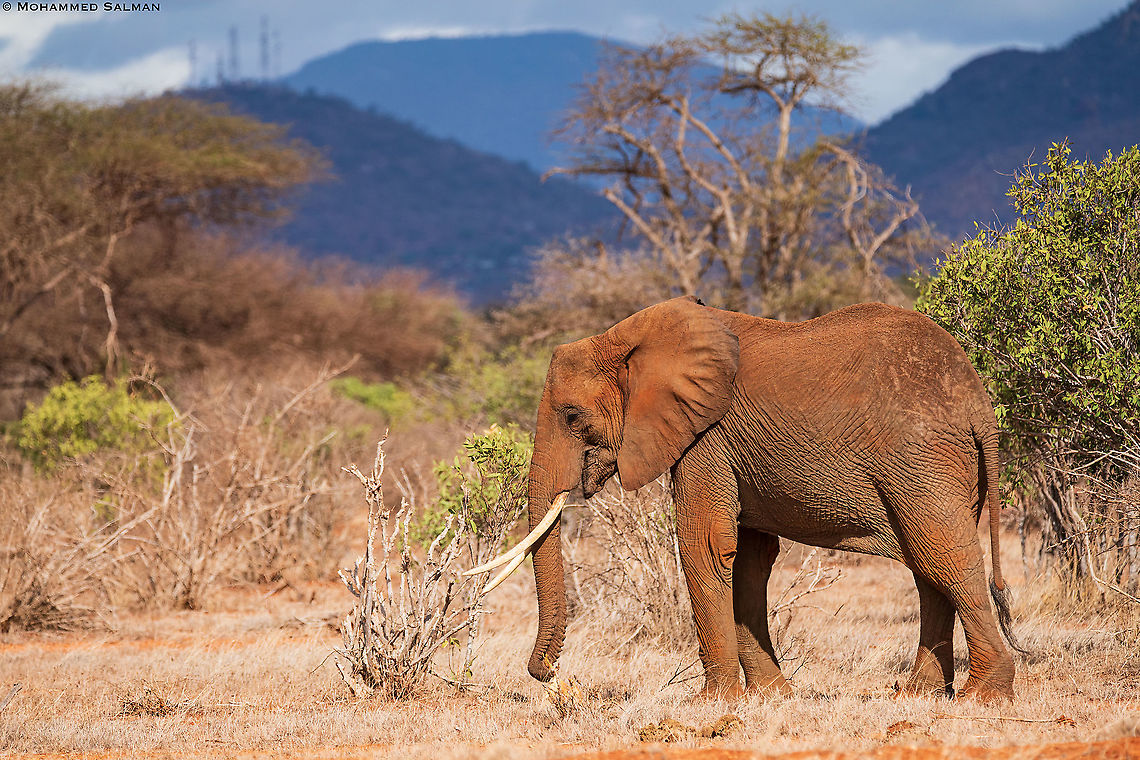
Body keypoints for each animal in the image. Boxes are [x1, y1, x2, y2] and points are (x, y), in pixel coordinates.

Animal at [471, 296, 1018, 701]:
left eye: (570, 416)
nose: (546, 675)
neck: (627, 339)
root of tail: (979, 403)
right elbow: (752, 558)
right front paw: (773, 697)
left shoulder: (706, 435)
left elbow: (705, 545)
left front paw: (712, 703)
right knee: (928, 566)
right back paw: (918, 695)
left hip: (922, 459)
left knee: (943, 554)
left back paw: (982, 695)